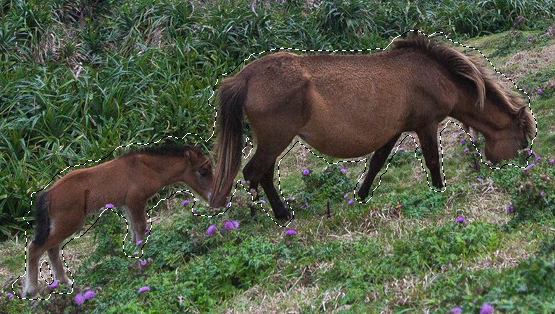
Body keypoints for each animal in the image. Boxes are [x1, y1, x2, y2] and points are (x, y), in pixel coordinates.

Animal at [23, 144, 213, 296]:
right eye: (202, 171)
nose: (212, 197)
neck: (145, 168)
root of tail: (49, 194)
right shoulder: (136, 202)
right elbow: (141, 230)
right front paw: (143, 261)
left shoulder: (127, 206)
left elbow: (135, 234)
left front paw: (134, 260)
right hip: (70, 223)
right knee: (36, 248)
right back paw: (31, 290)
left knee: (52, 249)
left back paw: (65, 282)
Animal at [208, 30, 536, 220]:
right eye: (522, 142)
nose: (524, 168)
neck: (435, 74)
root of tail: (245, 76)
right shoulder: (426, 125)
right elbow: (432, 161)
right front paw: (440, 191)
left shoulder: (394, 131)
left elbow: (377, 163)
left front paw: (361, 196)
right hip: (275, 139)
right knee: (254, 173)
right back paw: (276, 215)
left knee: (260, 174)